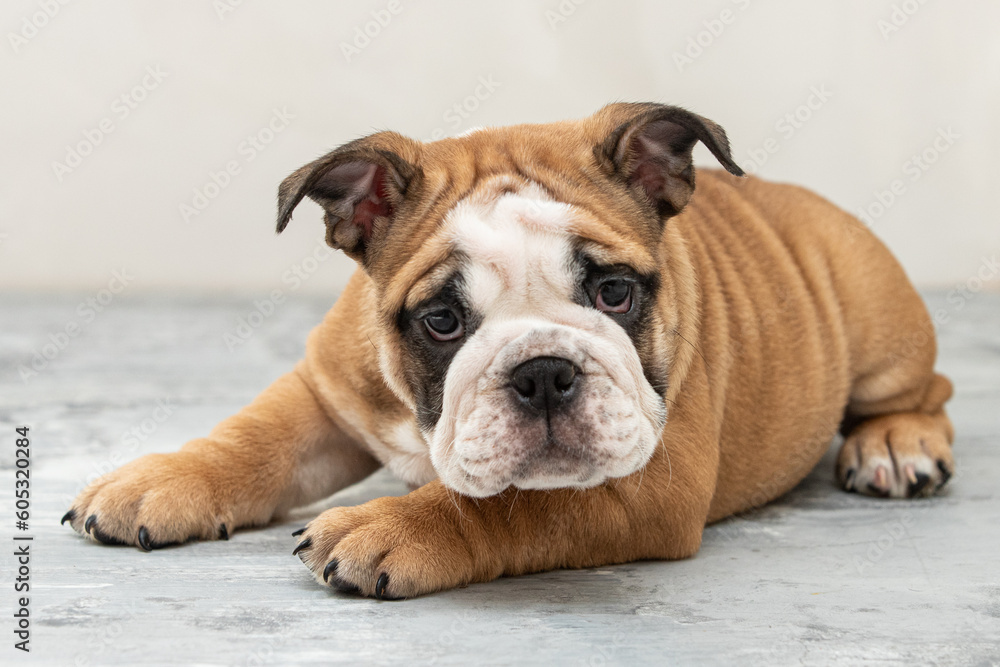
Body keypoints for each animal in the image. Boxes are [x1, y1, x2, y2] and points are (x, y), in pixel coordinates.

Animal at [62, 103, 952, 600]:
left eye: (614, 293)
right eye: (441, 321)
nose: (544, 371)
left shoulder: (646, 481)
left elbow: (513, 505)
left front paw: (392, 525)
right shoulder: (326, 389)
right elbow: (255, 436)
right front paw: (160, 481)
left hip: (875, 315)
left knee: (925, 391)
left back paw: (895, 444)